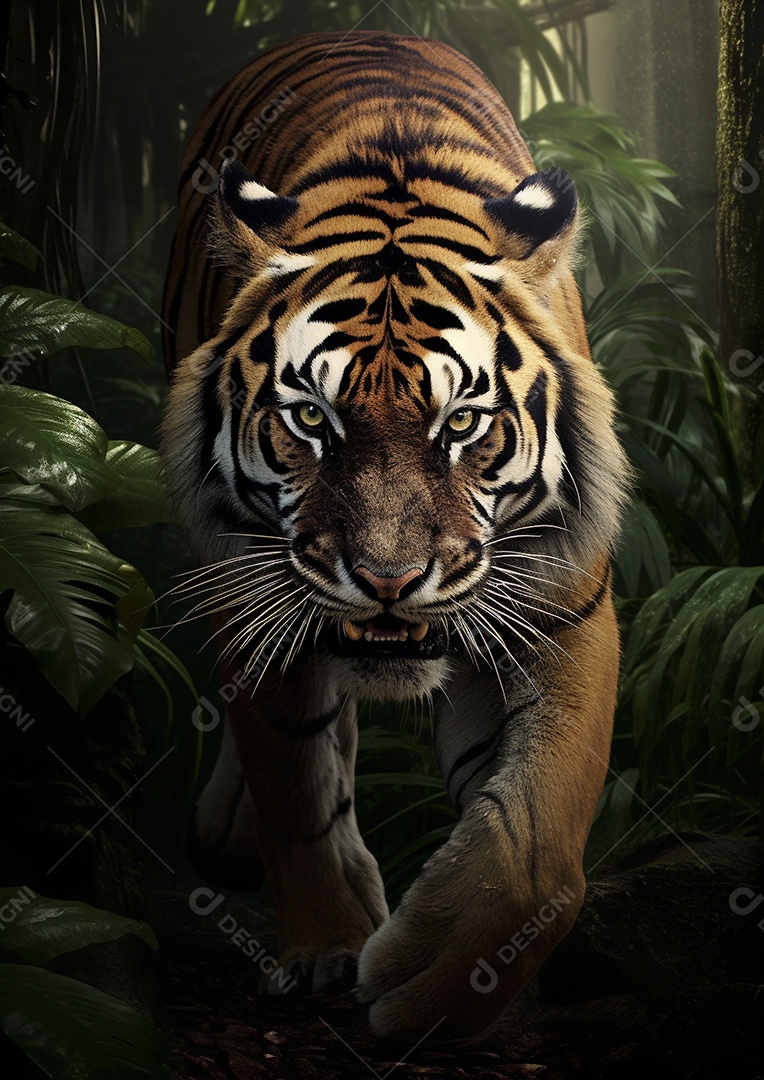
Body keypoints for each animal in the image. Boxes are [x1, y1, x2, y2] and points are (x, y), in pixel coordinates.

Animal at [161, 29, 629, 1039]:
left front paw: (442, 982)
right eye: (311, 419)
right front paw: (332, 948)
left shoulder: (560, 610)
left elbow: (540, 837)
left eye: (461, 424)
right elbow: (295, 788)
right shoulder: (259, 590)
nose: (385, 579)